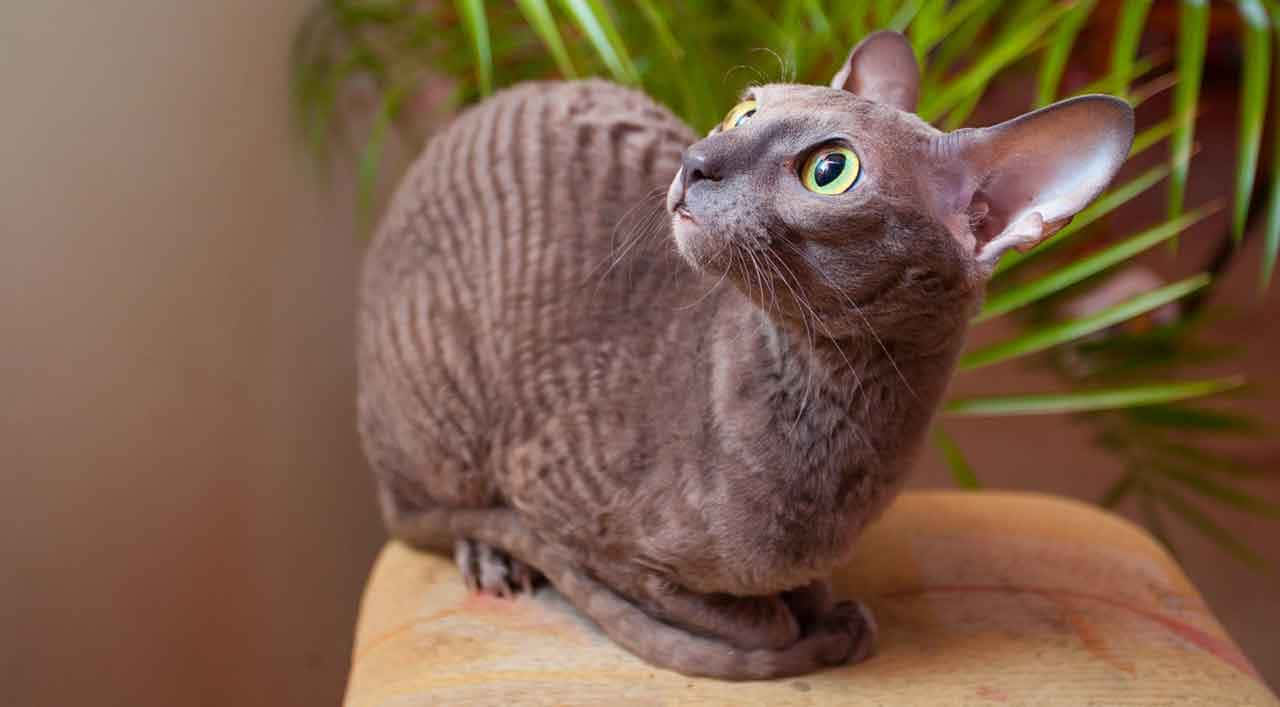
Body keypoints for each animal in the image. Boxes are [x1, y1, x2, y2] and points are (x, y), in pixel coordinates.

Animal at [358, 28, 1131, 681]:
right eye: (742, 112)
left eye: (830, 169)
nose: (695, 161)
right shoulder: (559, 505)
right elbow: (759, 622)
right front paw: (816, 625)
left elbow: (801, 592)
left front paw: (823, 607)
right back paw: (489, 553)